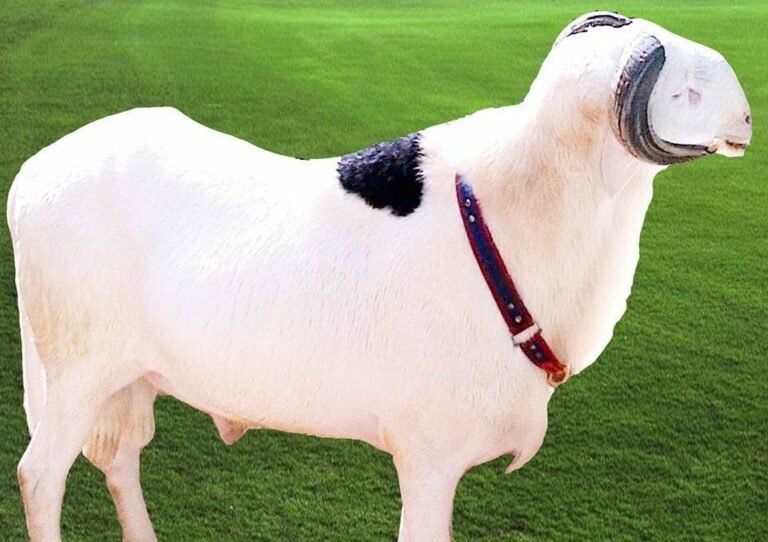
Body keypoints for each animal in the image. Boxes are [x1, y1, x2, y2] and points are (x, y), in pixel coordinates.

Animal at [7, 11, 752, 542]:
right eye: (684, 91)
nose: (747, 116)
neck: (514, 214)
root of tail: (32, 175)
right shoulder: (429, 454)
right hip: (76, 370)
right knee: (39, 476)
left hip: (127, 379)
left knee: (120, 463)